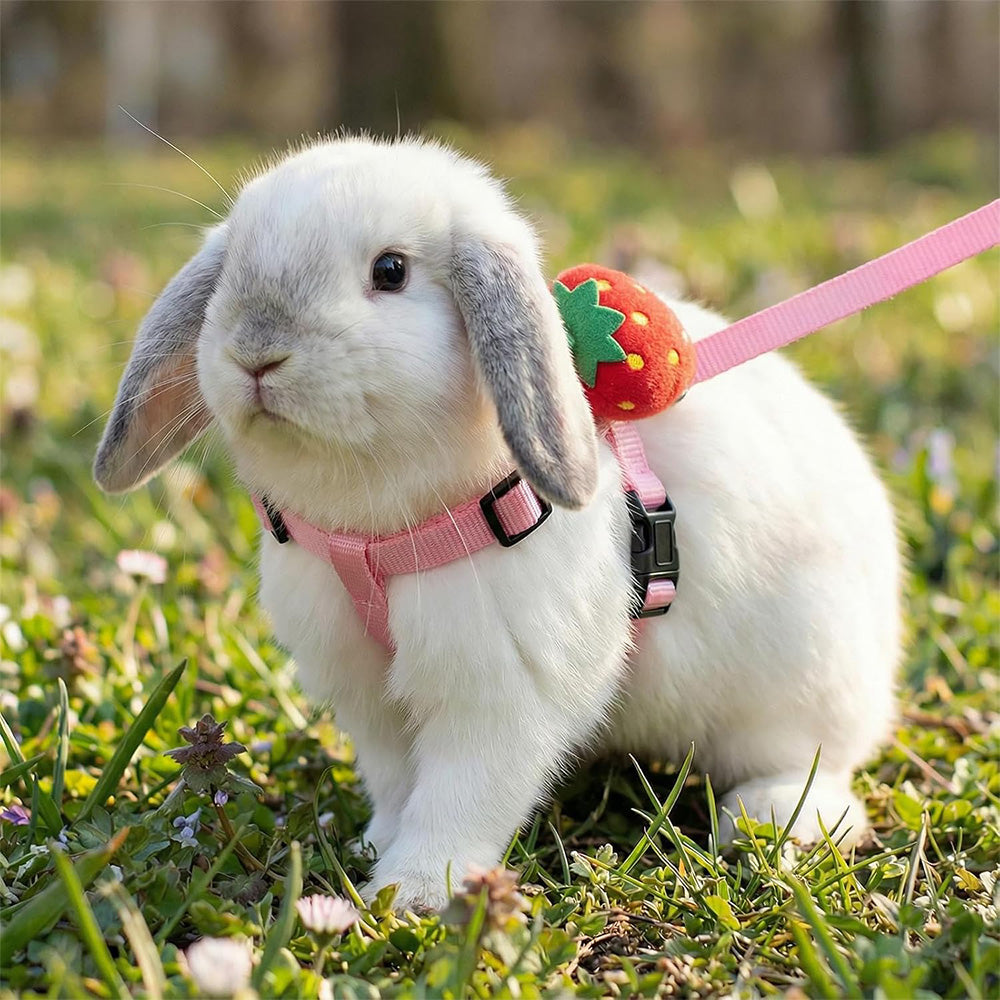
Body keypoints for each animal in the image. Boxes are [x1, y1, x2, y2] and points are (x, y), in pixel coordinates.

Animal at [94, 136, 901, 910]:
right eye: (232, 270)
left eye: (391, 271)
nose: (256, 353)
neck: (373, 537)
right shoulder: (370, 698)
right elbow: (397, 783)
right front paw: (375, 844)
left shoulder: (501, 692)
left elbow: (461, 795)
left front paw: (415, 891)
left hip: (800, 691)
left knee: (815, 766)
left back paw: (772, 816)